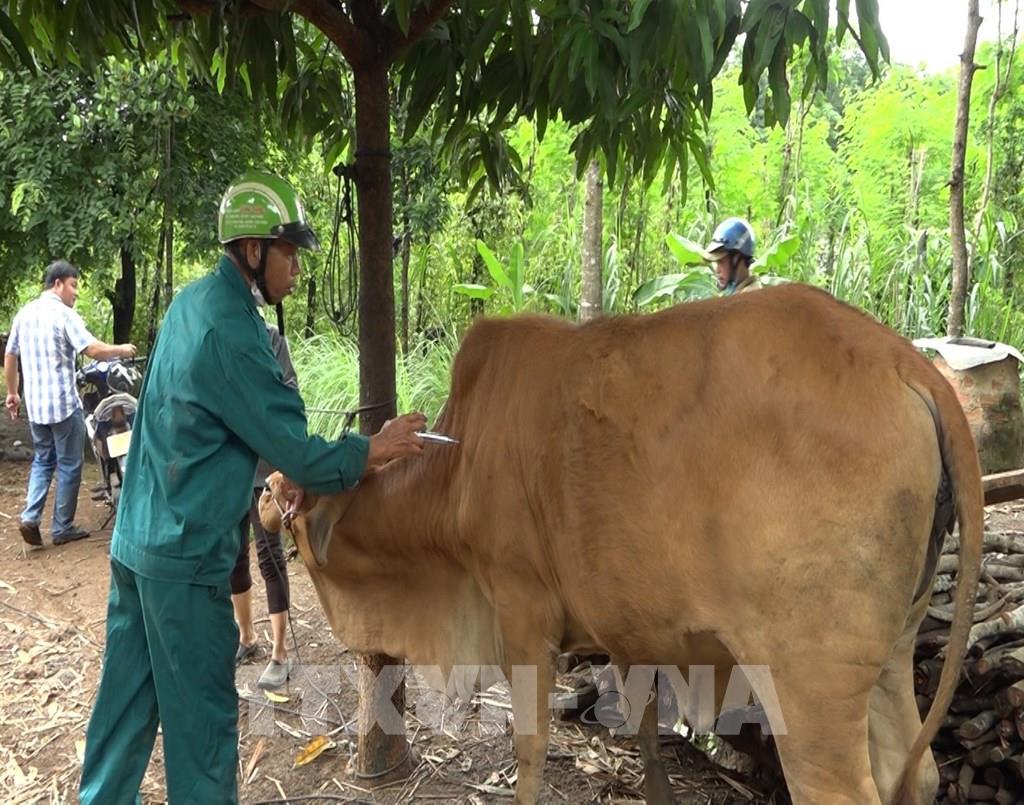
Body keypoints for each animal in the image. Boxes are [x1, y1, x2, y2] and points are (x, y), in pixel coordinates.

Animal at [264, 284, 983, 802]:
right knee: (913, 771)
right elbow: (642, 729)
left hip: (809, 682)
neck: (457, 465)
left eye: (291, 501)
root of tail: (906, 362)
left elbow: (530, 751)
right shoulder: (626, 628)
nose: (267, 502)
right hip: (891, 650)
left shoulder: (522, 612)